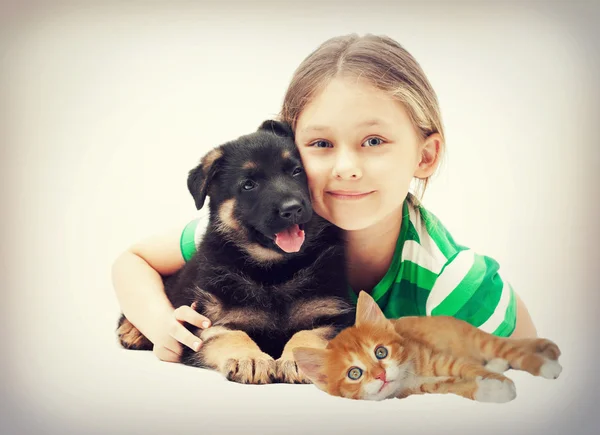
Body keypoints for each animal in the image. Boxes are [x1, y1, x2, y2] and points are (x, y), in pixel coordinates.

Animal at [116, 119, 356, 384]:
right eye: (248, 185)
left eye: (296, 171)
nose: (292, 209)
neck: (274, 272)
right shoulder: (209, 323)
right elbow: (232, 335)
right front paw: (250, 358)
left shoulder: (333, 318)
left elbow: (307, 334)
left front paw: (298, 359)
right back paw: (132, 331)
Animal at [292, 292, 560, 404]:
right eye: (354, 373)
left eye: (381, 352)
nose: (380, 375)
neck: (409, 374)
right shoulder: (422, 387)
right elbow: (453, 385)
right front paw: (491, 390)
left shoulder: (444, 359)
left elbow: (470, 369)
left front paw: (500, 383)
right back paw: (498, 365)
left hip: (482, 341)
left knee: (511, 351)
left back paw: (546, 366)